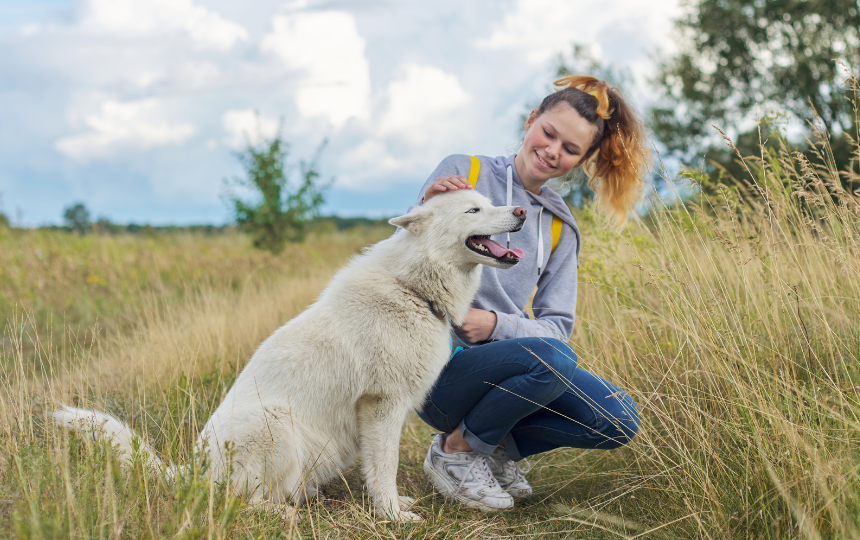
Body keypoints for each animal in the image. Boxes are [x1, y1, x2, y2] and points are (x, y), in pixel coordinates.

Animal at [53, 191, 528, 524]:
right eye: (473, 210)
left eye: (490, 203)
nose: (522, 211)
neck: (412, 289)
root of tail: (193, 471)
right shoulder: (382, 406)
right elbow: (384, 468)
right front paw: (392, 515)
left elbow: (379, 471)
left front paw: (393, 505)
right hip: (278, 424)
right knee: (237, 501)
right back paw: (281, 513)